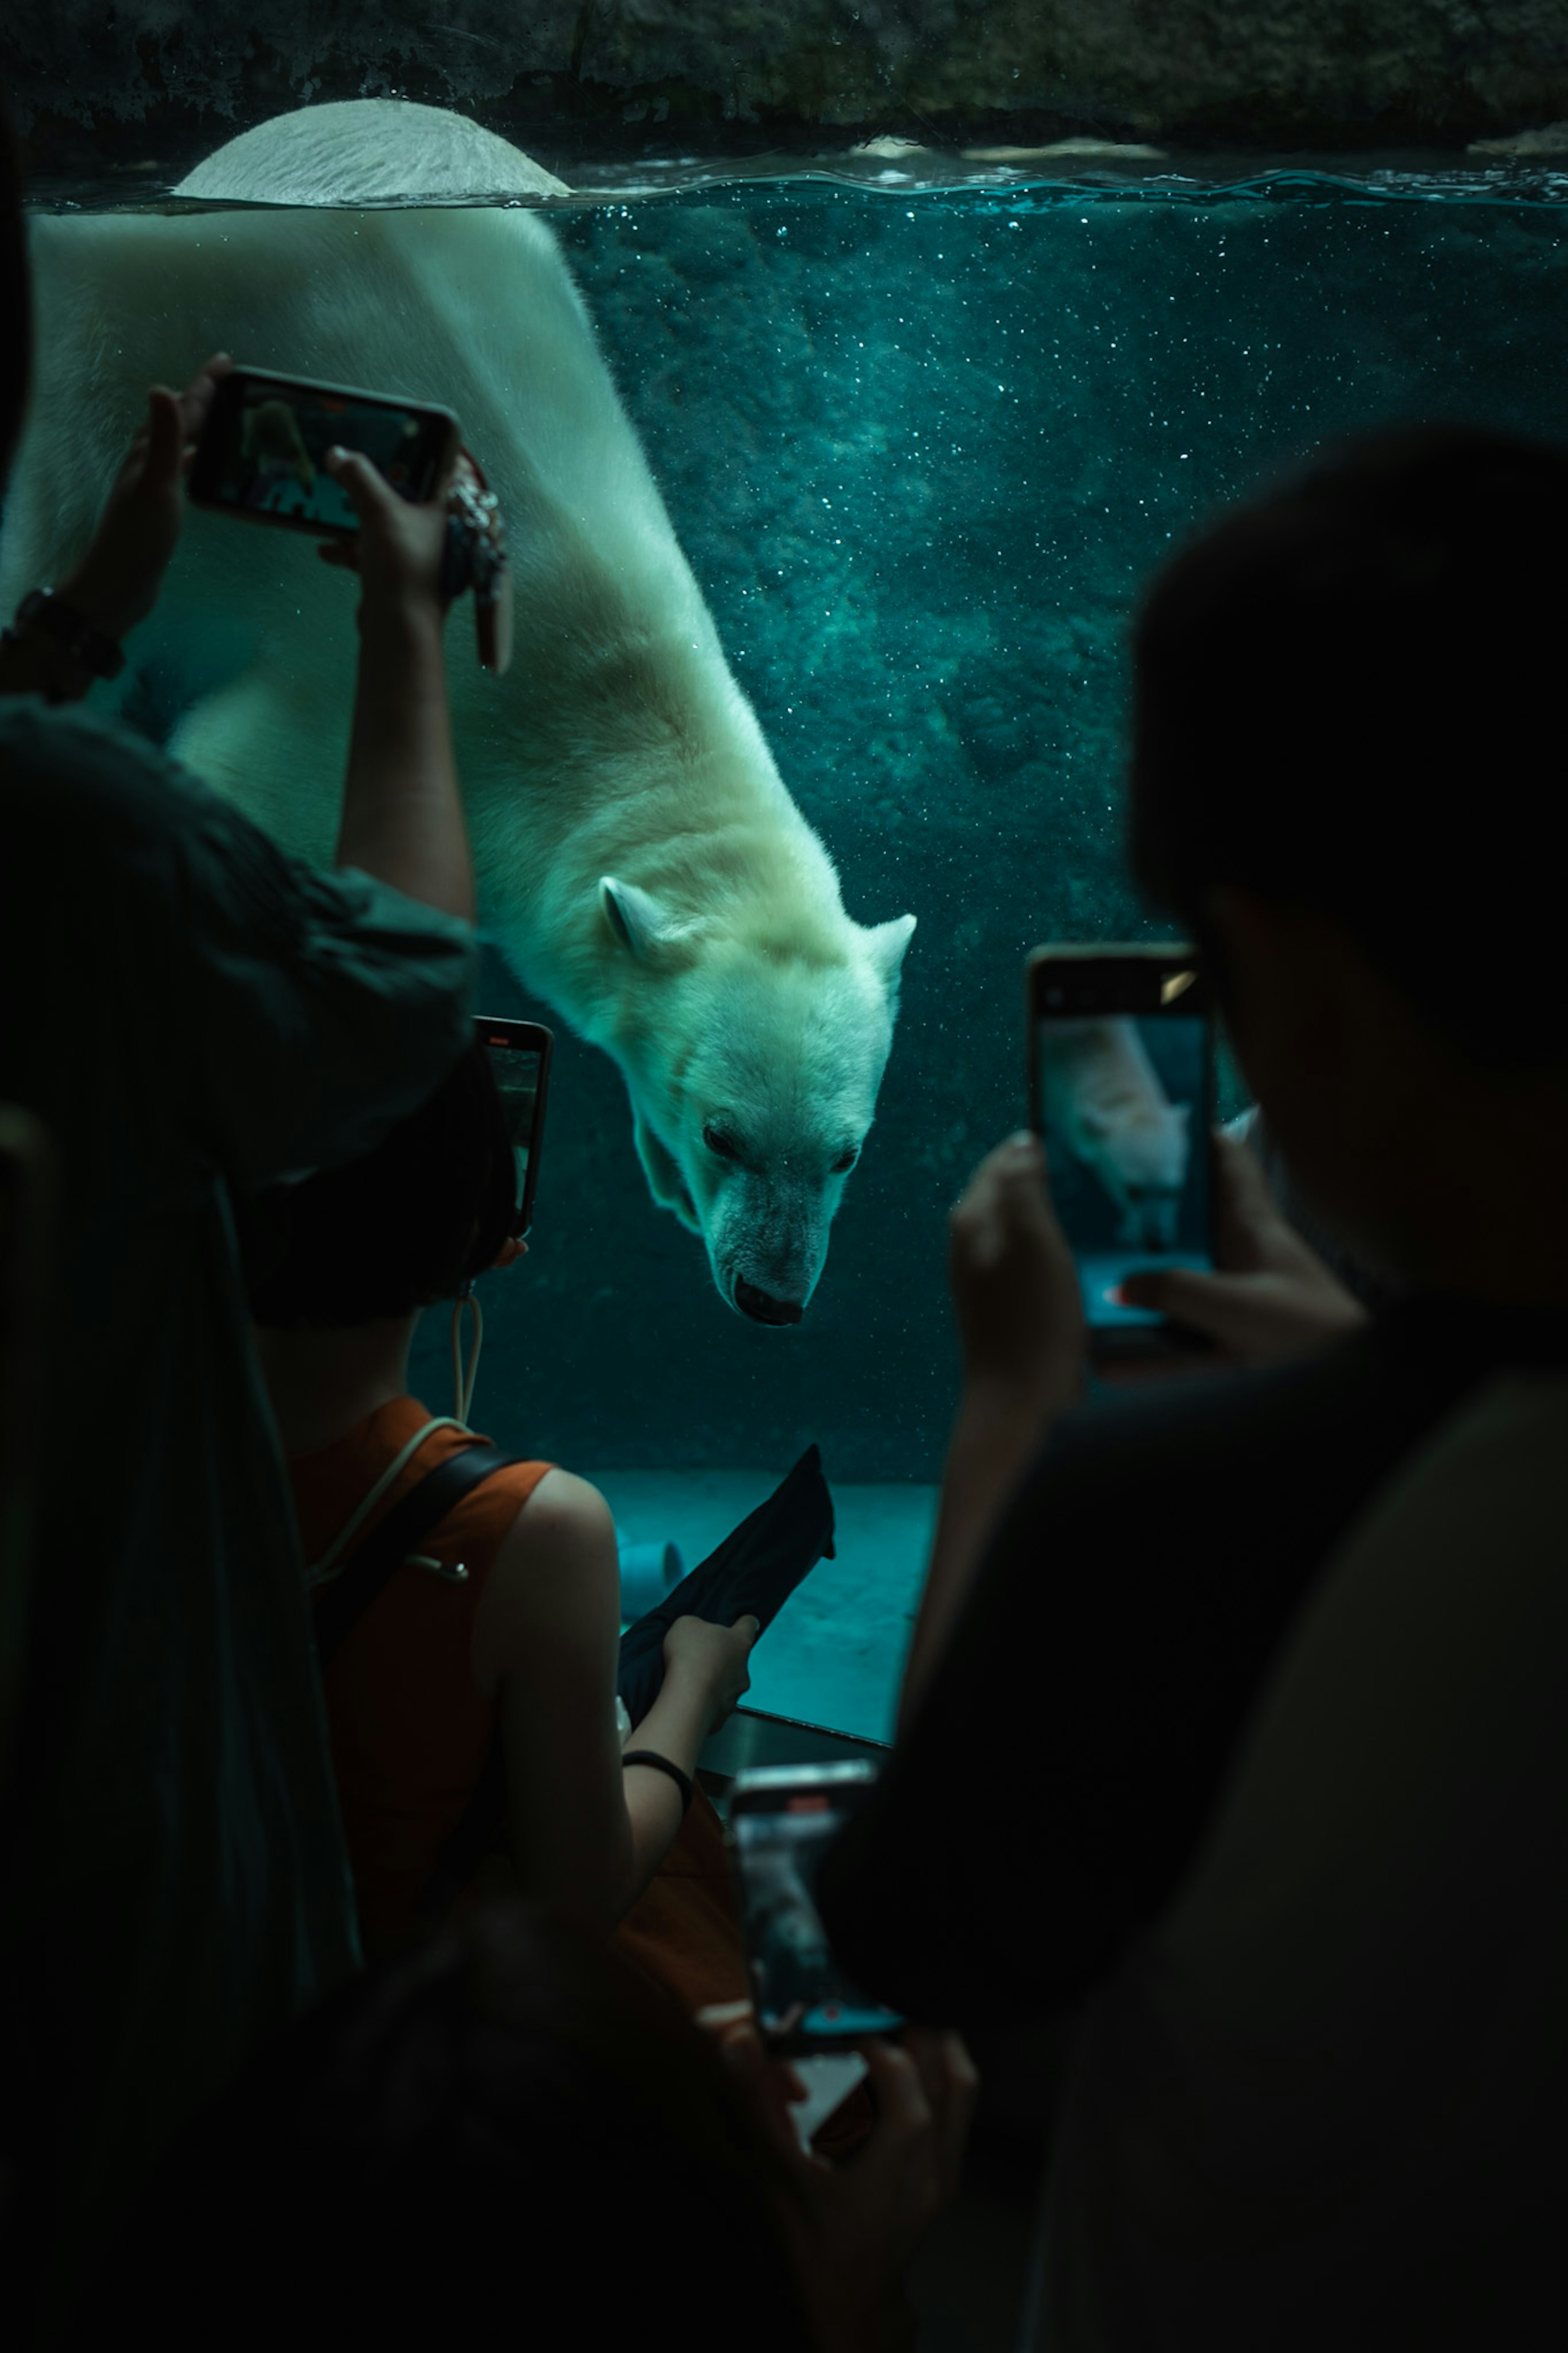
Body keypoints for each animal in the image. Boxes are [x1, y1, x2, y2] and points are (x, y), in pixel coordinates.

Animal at [0, 96, 912, 1327]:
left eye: (844, 1152)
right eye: (725, 1132)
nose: (772, 1297)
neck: (612, 699)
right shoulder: (388, 714)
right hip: (104, 372)